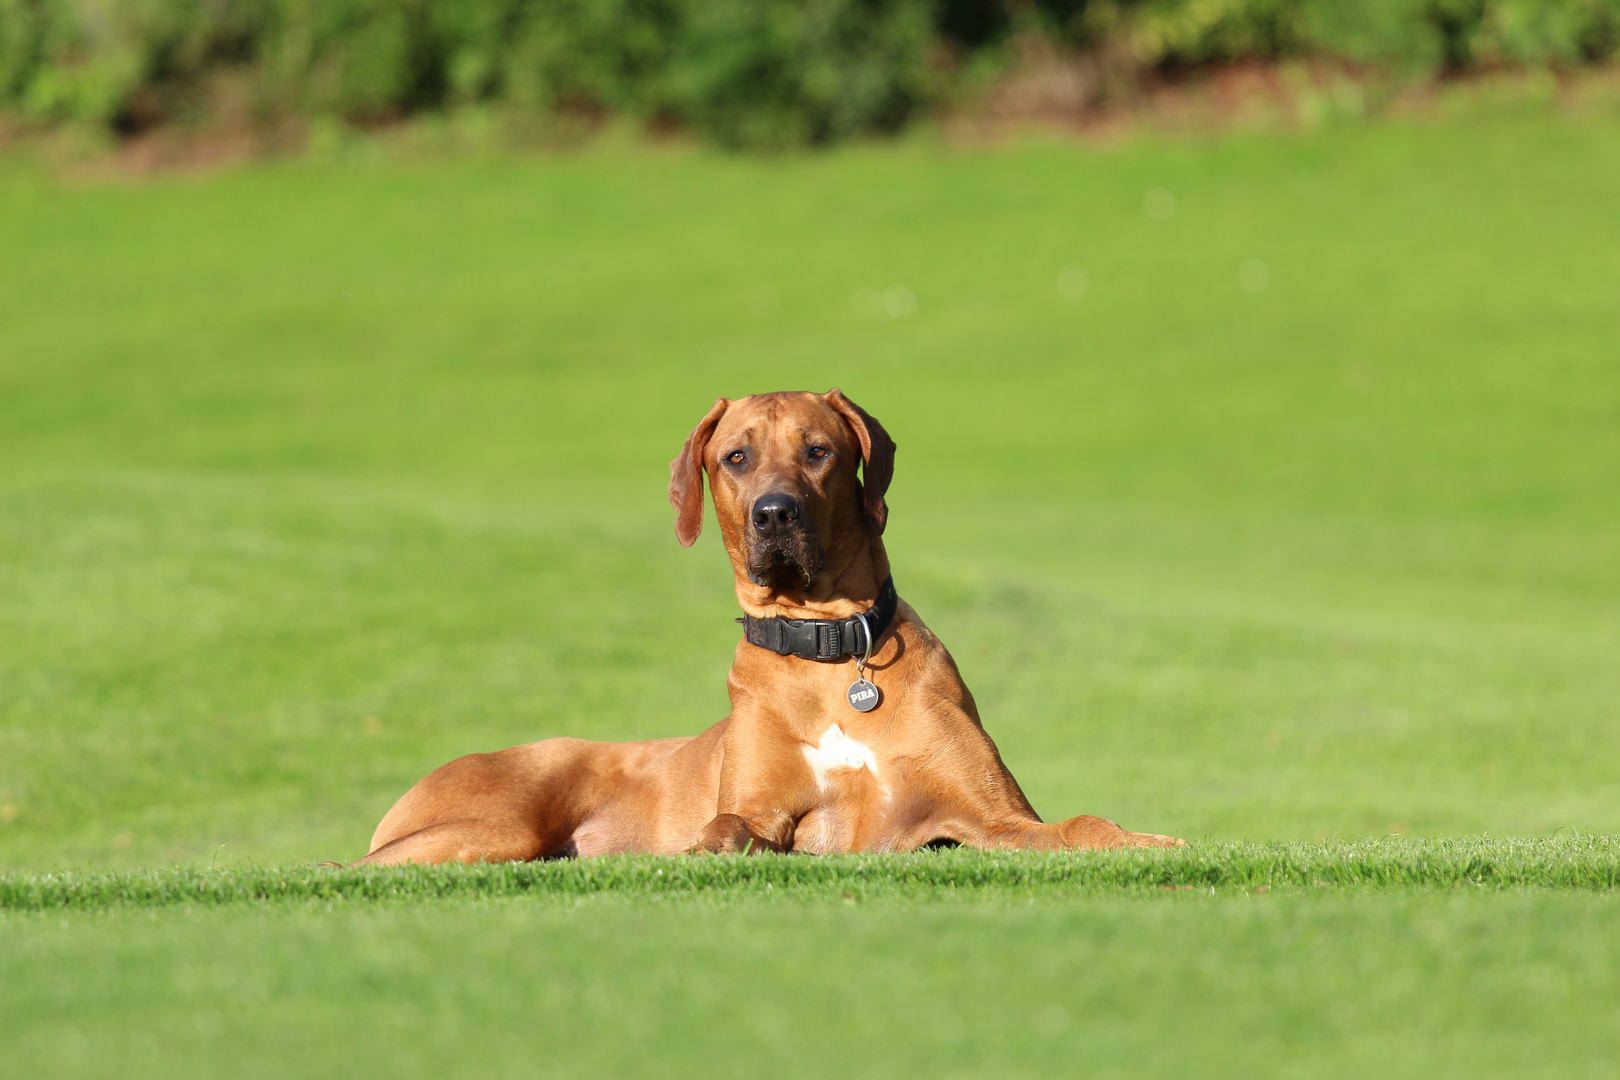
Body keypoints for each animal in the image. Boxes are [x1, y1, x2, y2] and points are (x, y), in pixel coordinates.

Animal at [361, 388, 1179, 861]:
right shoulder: (764, 809)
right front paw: (713, 849)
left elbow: (1078, 825)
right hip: (491, 829)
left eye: (819, 452)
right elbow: (727, 827)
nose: (775, 513)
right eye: (735, 457)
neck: (828, 655)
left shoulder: (993, 820)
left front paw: (1148, 840)